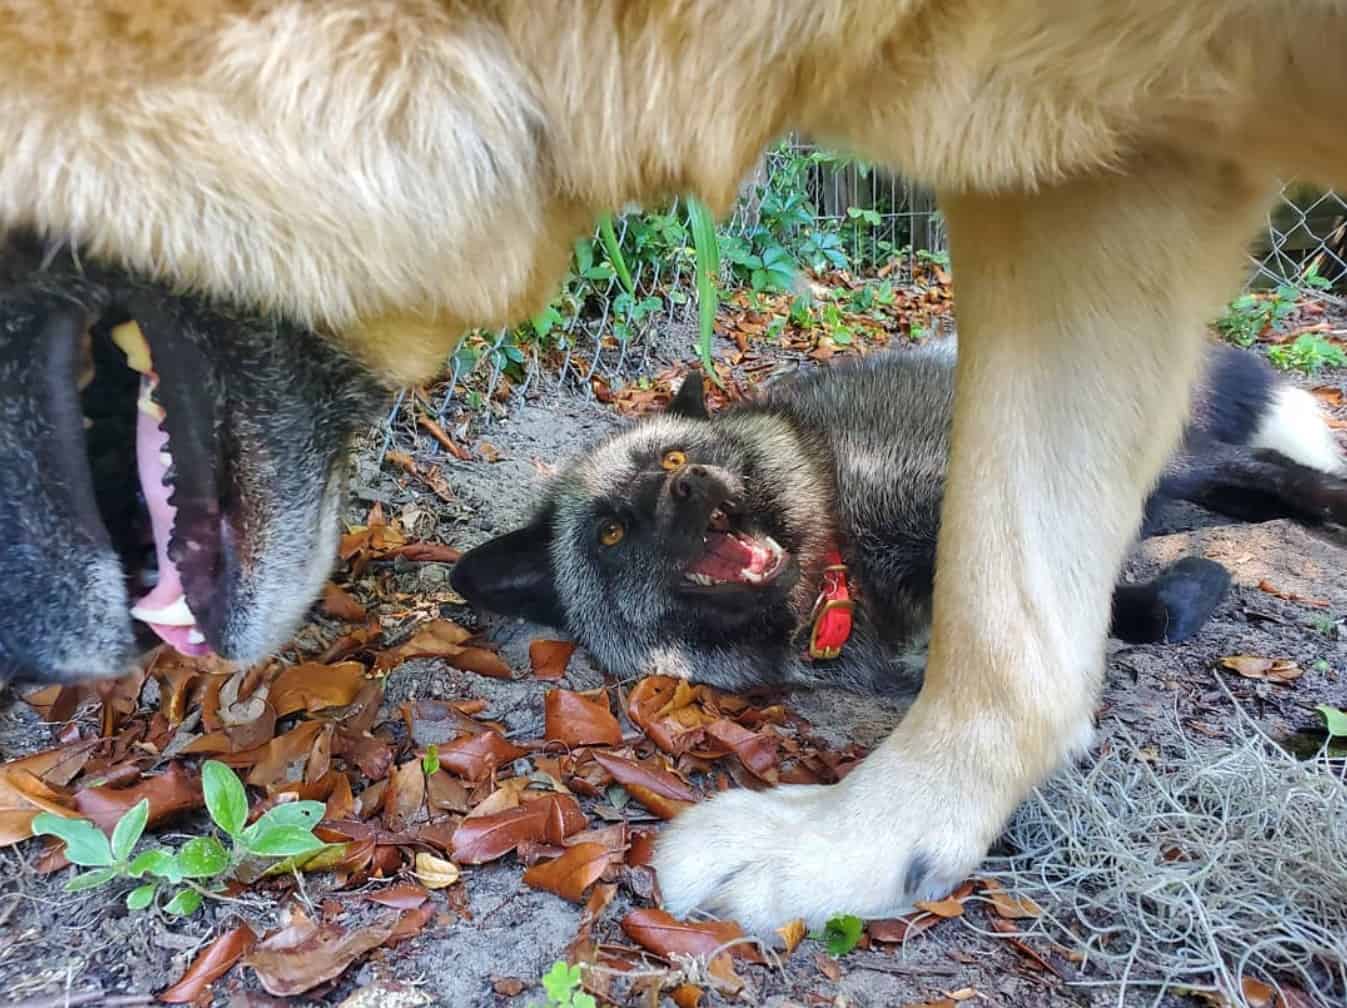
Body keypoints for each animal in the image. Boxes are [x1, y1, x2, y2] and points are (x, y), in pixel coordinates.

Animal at [449, 342, 1347, 695]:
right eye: (609, 533)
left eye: (670, 460)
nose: (692, 486)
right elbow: (1131, 611)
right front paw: (1192, 584)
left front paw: (1199, 583)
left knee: (1253, 467)